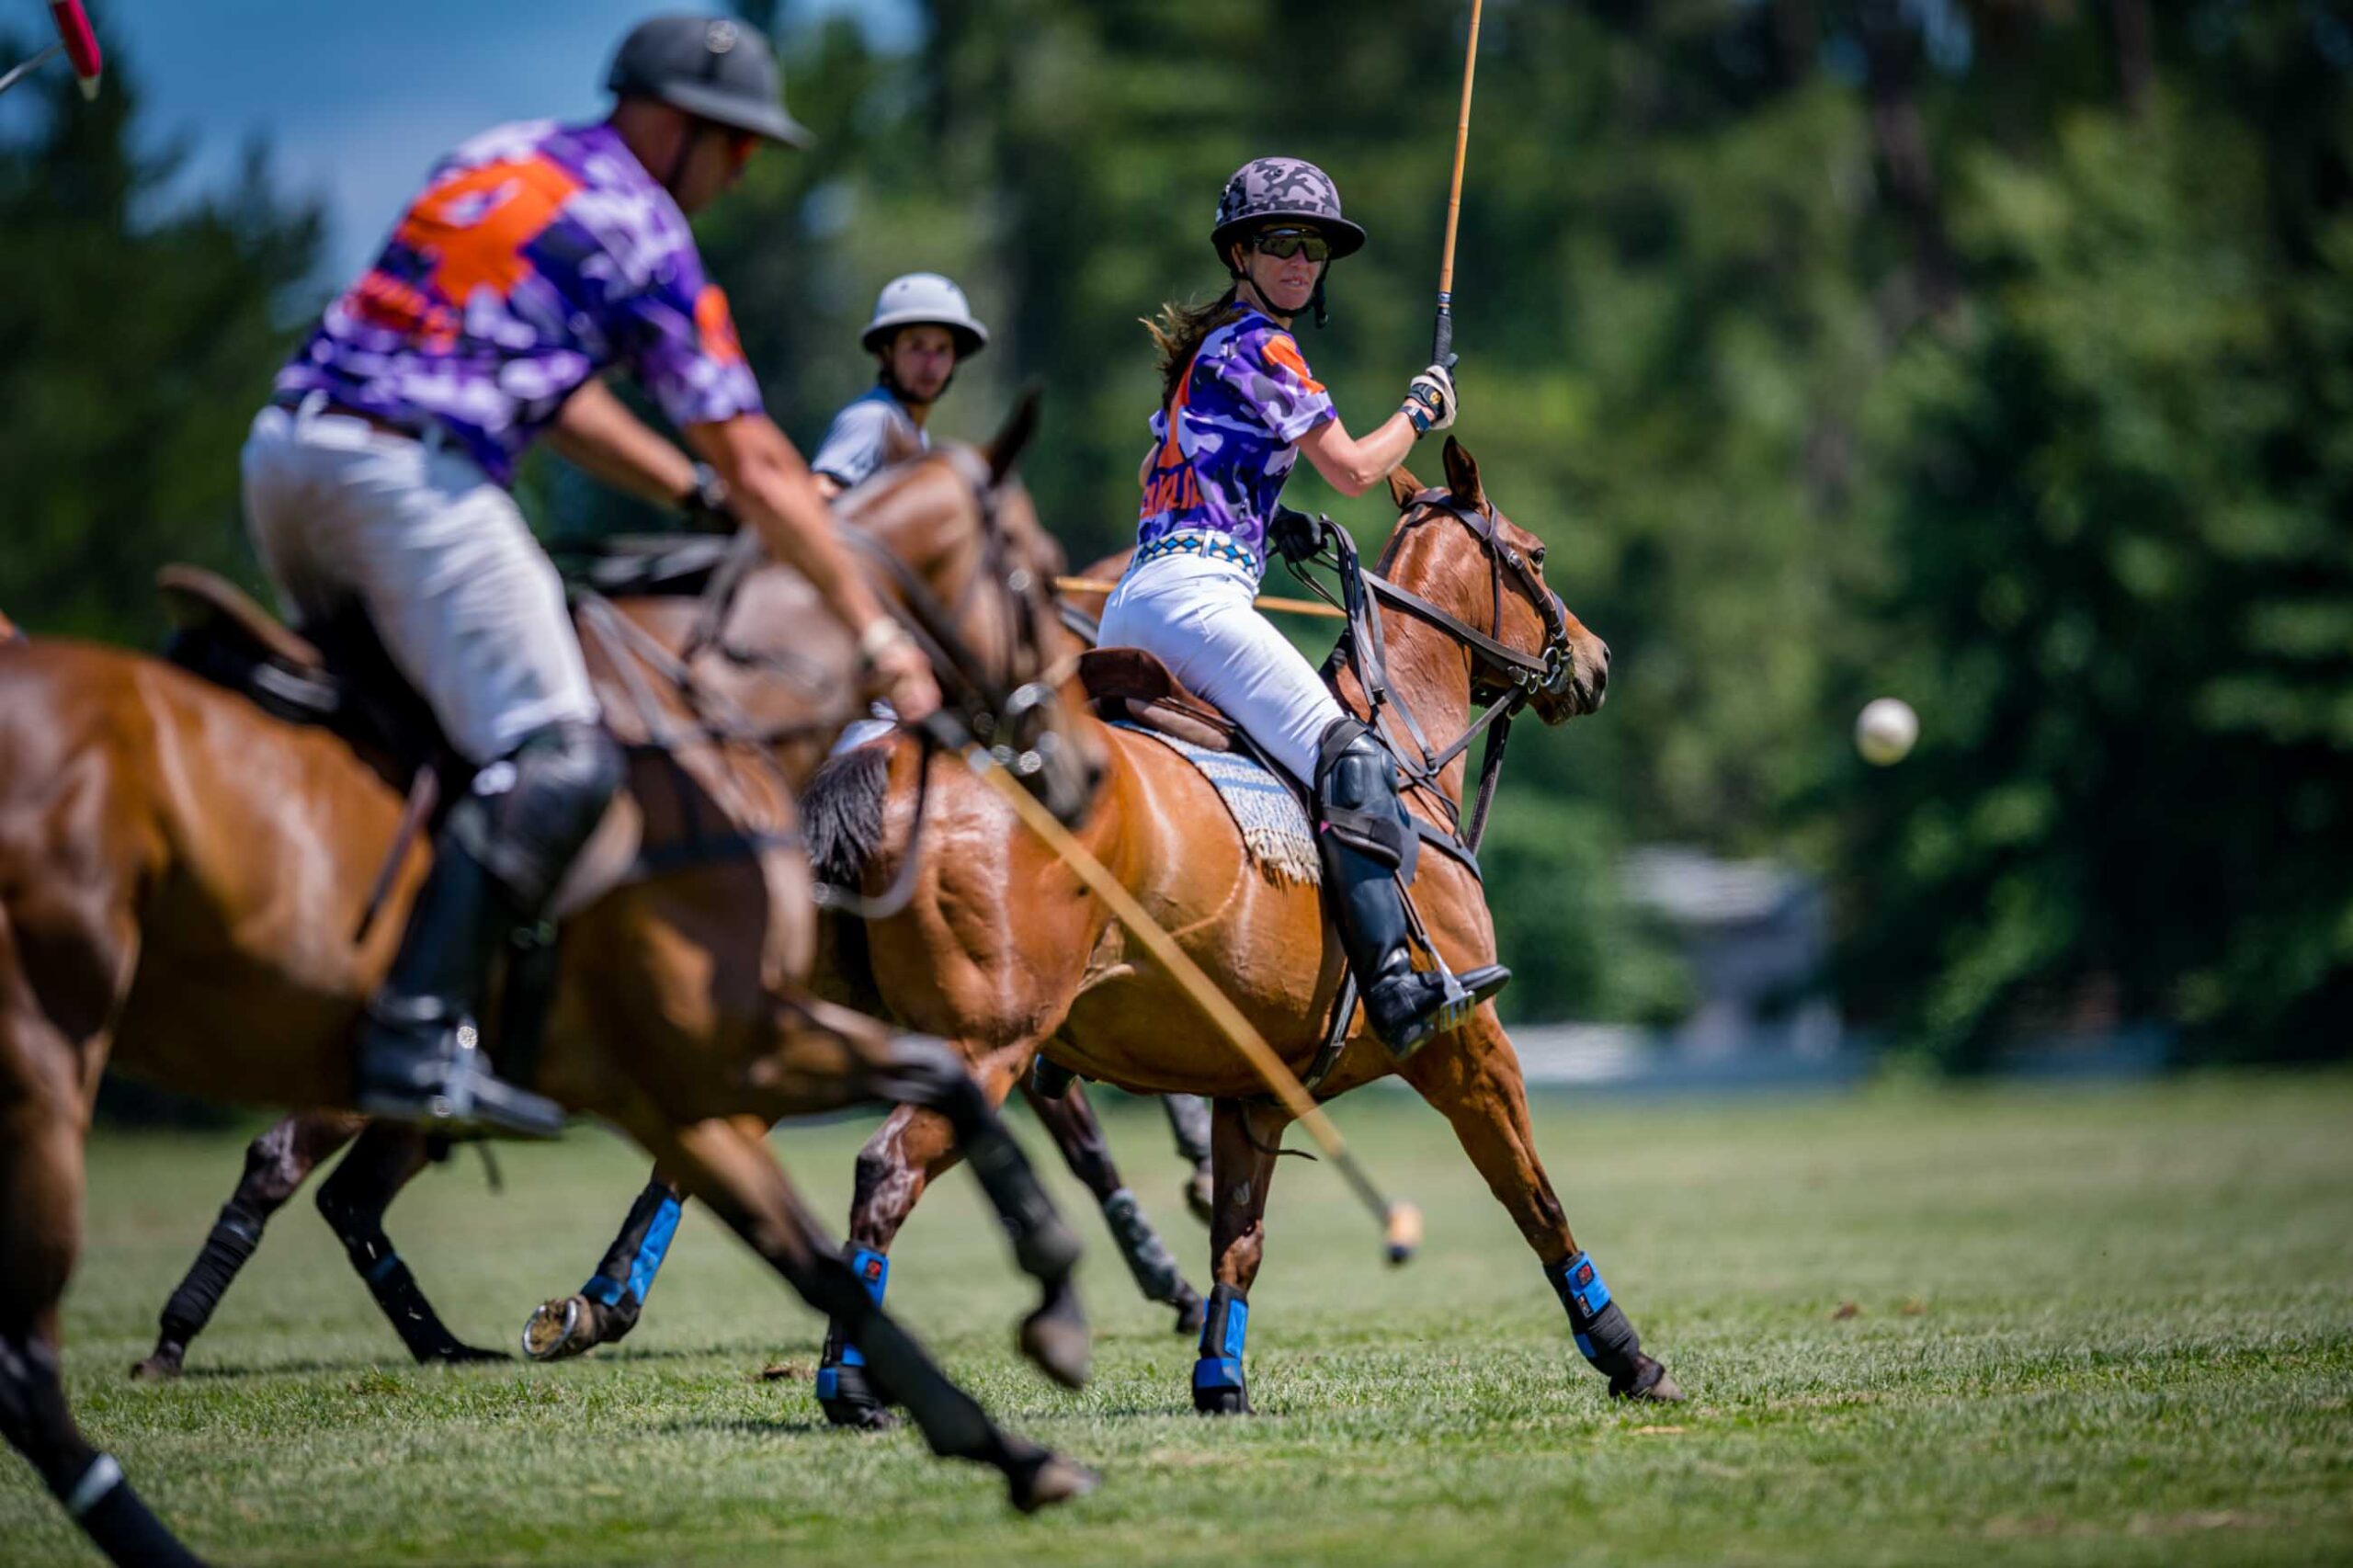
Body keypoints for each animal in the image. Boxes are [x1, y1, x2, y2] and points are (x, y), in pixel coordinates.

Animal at [0, 420, 1110, 1568]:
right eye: (1032, 568)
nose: (1078, 767)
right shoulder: (774, 1039)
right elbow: (965, 1123)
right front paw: (1061, 1304)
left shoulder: (708, 1059)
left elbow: (814, 1226)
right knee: (245, 1194)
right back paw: (188, 1365)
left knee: (327, 1193)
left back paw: (427, 1343)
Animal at [799, 438, 1682, 1425]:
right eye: (1534, 555)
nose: (1596, 661)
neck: (1406, 757)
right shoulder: (1467, 1042)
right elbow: (1534, 1196)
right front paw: (1626, 1355)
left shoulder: (1254, 1088)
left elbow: (1240, 1237)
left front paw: (1220, 1380)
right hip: (985, 1042)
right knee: (885, 1169)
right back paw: (848, 1385)